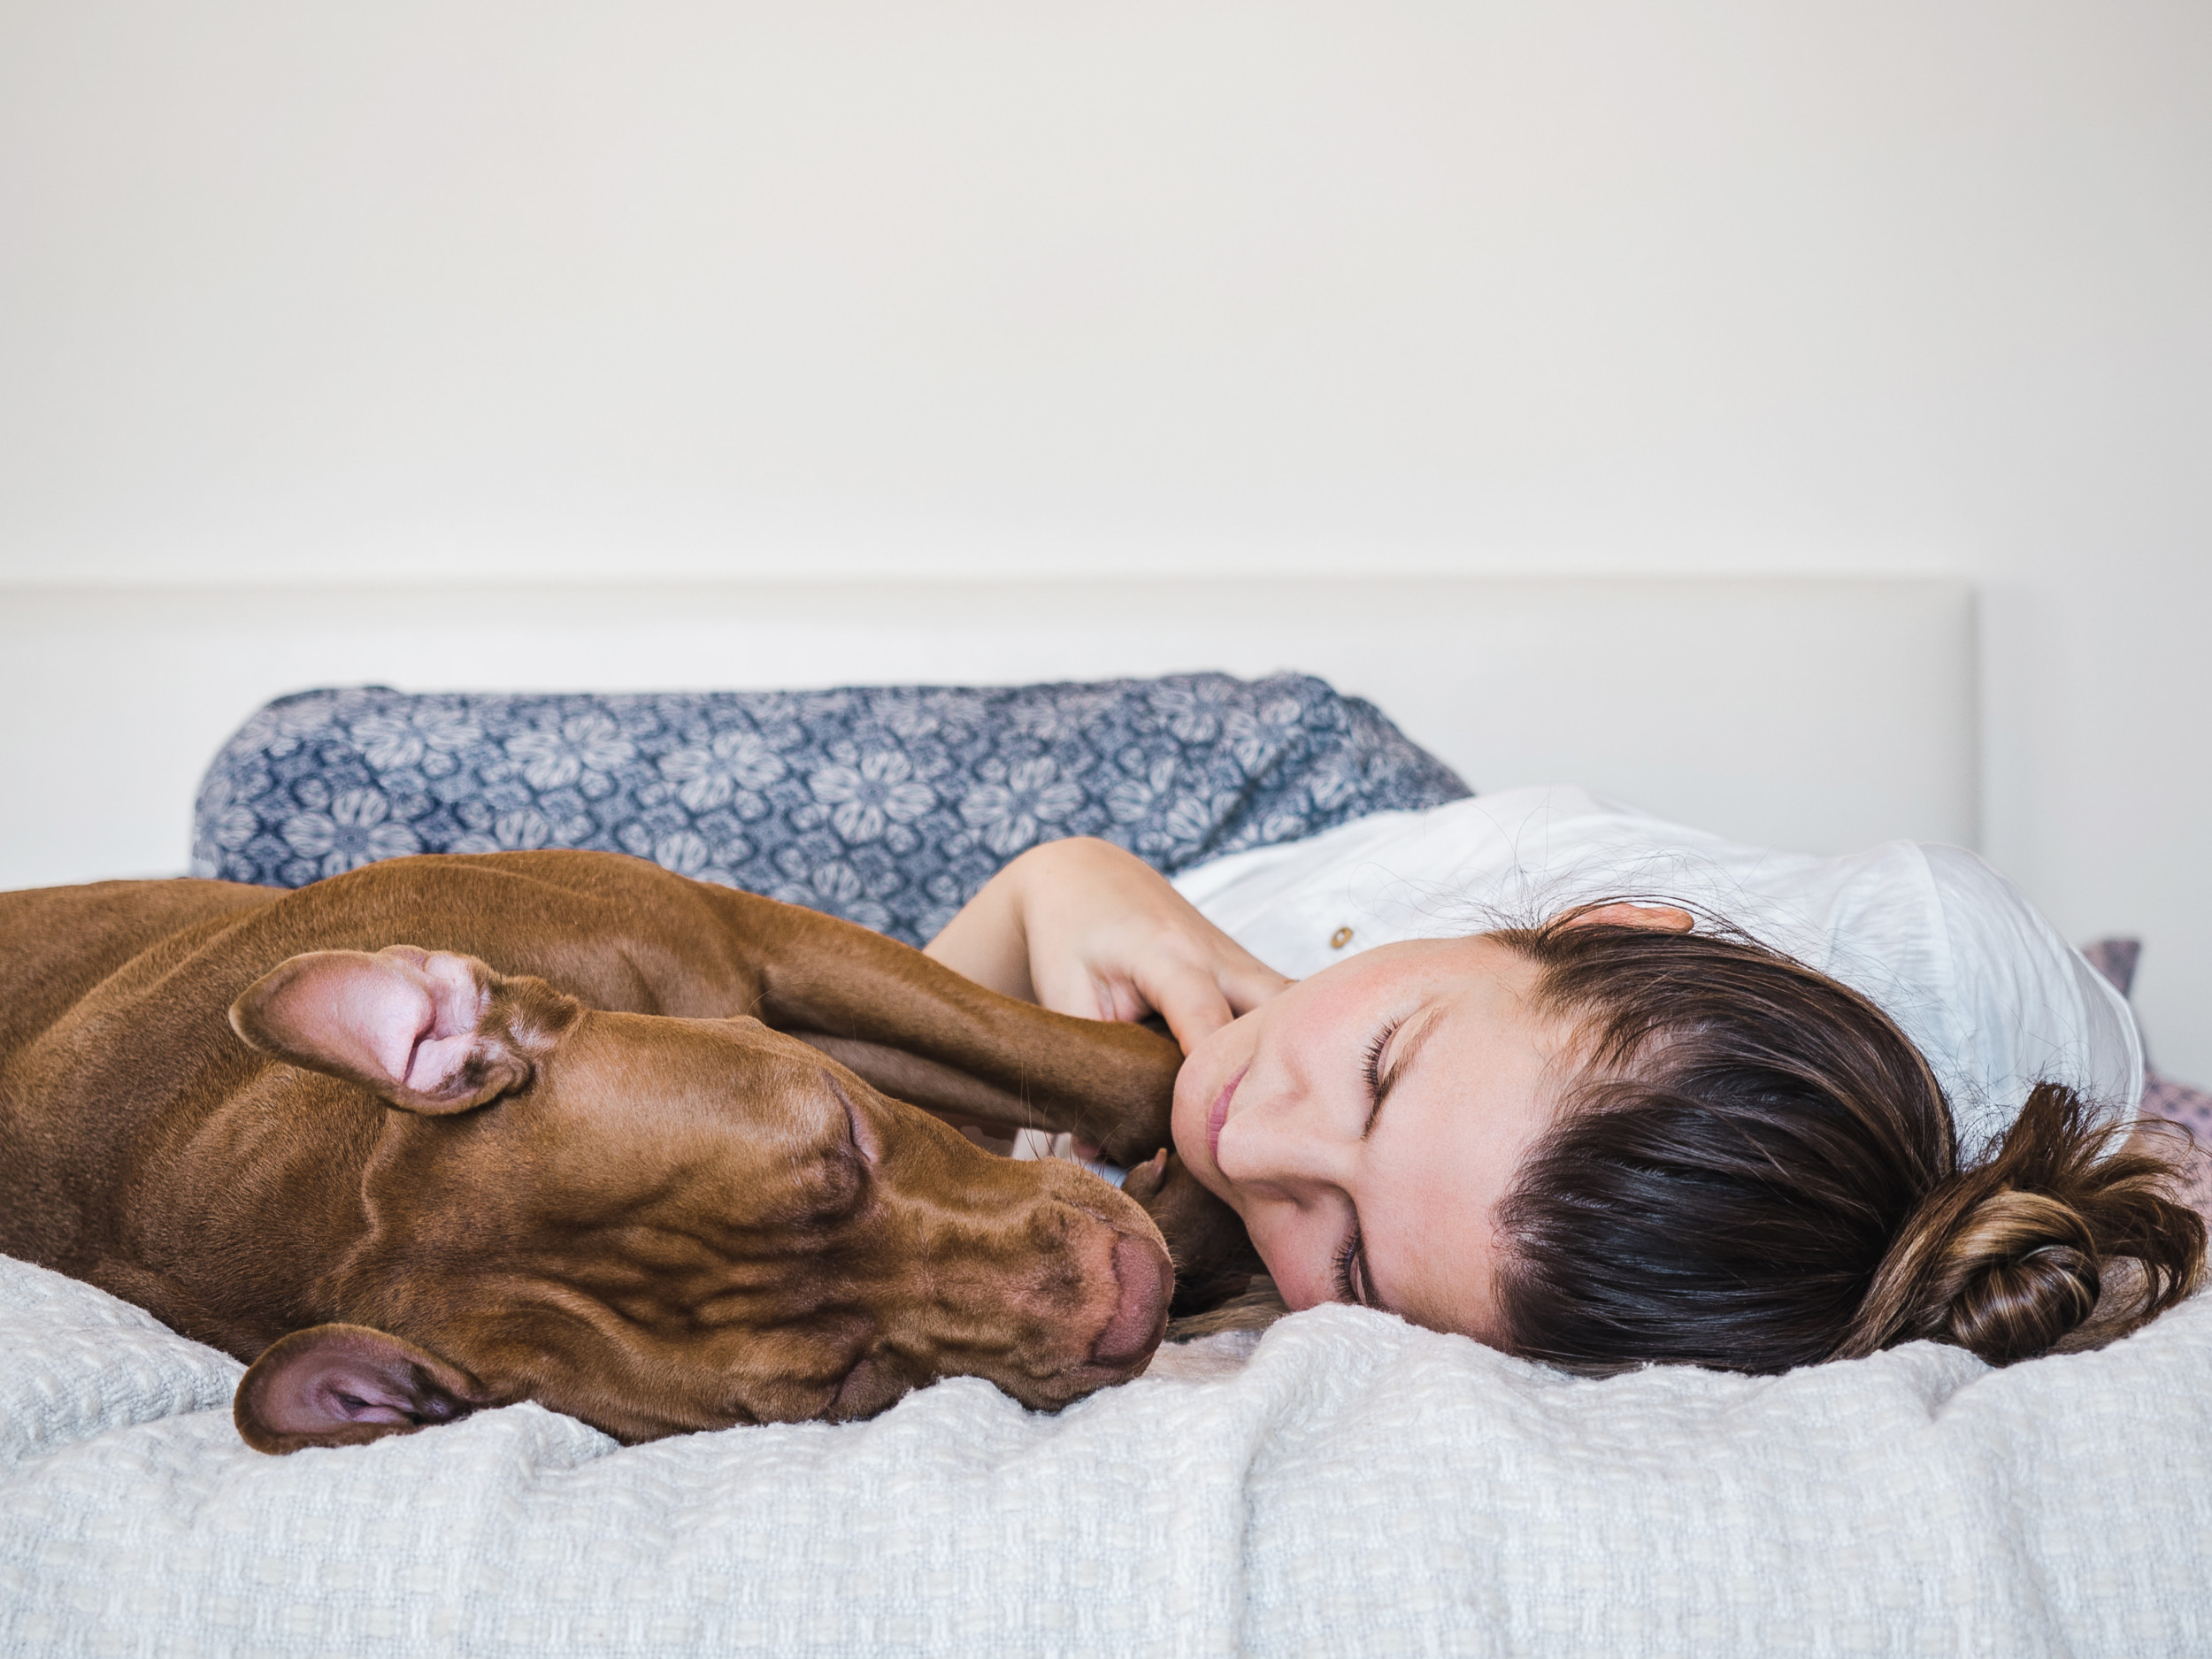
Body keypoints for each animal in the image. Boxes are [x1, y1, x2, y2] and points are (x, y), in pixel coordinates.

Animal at [0, 858, 1248, 1451]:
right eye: (847, 1387)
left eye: (848, 1138)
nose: (1126, 1302)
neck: (325, 1201)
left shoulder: (756, 936)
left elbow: (1118, 1068)